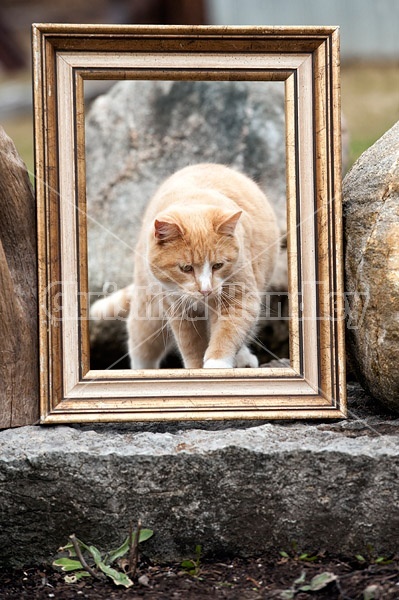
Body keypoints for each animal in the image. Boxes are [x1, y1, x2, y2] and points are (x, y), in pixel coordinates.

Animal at [92, 165, 280, 370]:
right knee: (140, 345)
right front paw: (196, 368)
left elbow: (228, 332)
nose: (206, 290)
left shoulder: (240, 297)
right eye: (186, 268)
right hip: (149, 312)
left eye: (218, 265)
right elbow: (191, 345)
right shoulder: (178, 309)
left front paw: (216, 364)